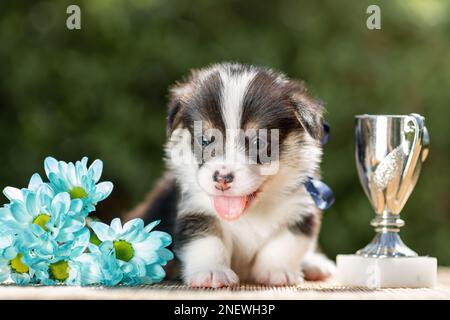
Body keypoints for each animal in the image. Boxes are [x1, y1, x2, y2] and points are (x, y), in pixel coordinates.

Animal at [128, 62, 336, 288]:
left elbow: (284, 243)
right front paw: (212, 271)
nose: (222, 179)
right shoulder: (197, 210)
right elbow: (207, 241)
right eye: (204, 140)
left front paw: (276, 271)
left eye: (258, 142)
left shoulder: (301, 211)